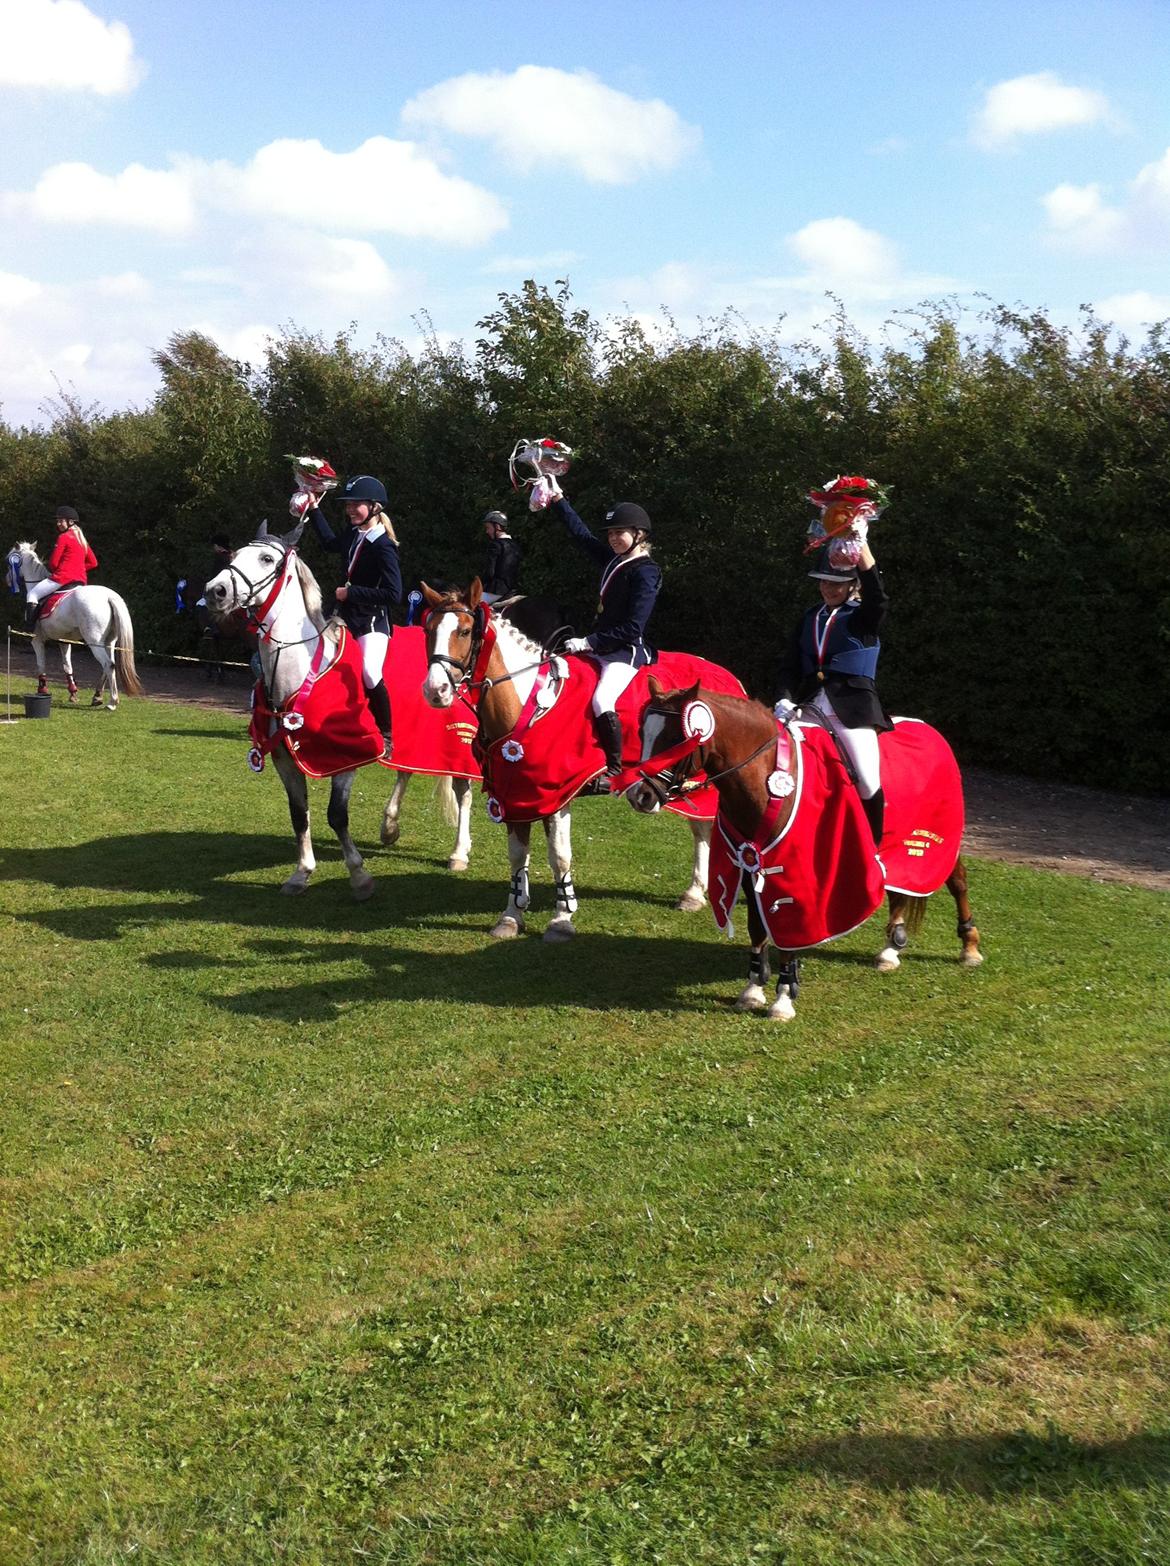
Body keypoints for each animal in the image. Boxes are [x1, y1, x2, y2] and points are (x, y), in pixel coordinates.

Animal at [12, 541, 143, 707]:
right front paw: (73, 692)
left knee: (108, 664)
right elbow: (67, 666)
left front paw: (42, 690)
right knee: (109, 665)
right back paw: (97, 696)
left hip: (94, 641)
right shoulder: (63, 641)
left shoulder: (37, 640)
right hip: (110, 641)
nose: (9, 579)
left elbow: (41, 664)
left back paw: (112, 701)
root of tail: (109, 596)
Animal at [422, 579, 742, 933]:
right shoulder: (514, 794)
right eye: (429, 630)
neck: (526, 702)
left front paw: (562, 918)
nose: (435, 691)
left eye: (465, 631)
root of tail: (725, 674)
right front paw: (511, 917)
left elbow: (560, 855)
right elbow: (518, 855)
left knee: (703, 829)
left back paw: (698, 893)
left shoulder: (555, 794)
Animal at [626, 679, 983, 1021]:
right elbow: (757, 926)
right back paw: (890, 949)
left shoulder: (793, 874)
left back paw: (969, 947)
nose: (639, 796)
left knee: (958, 881)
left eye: (676, 738)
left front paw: (783, 999)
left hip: (936, 842)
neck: (767, 779)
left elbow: (789, 932)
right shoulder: (748, 863)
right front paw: (752, 989)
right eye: (644, 733)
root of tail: (931, 731)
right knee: (899, 892)